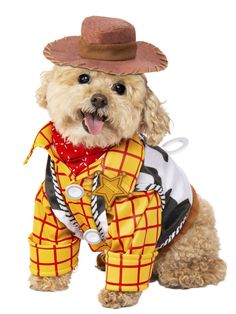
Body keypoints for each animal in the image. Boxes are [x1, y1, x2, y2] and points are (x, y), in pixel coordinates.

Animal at [26, 15, 227, 308]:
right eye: (83, 77)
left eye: (119, 88)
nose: (99, 99)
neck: (86, 156)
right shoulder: (51, 204)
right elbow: (51, 244)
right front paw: (47, 281)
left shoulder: (141, 206)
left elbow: (130, 254)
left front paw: (119, 294)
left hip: (191, 236)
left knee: (206, 266)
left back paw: (184, 274)